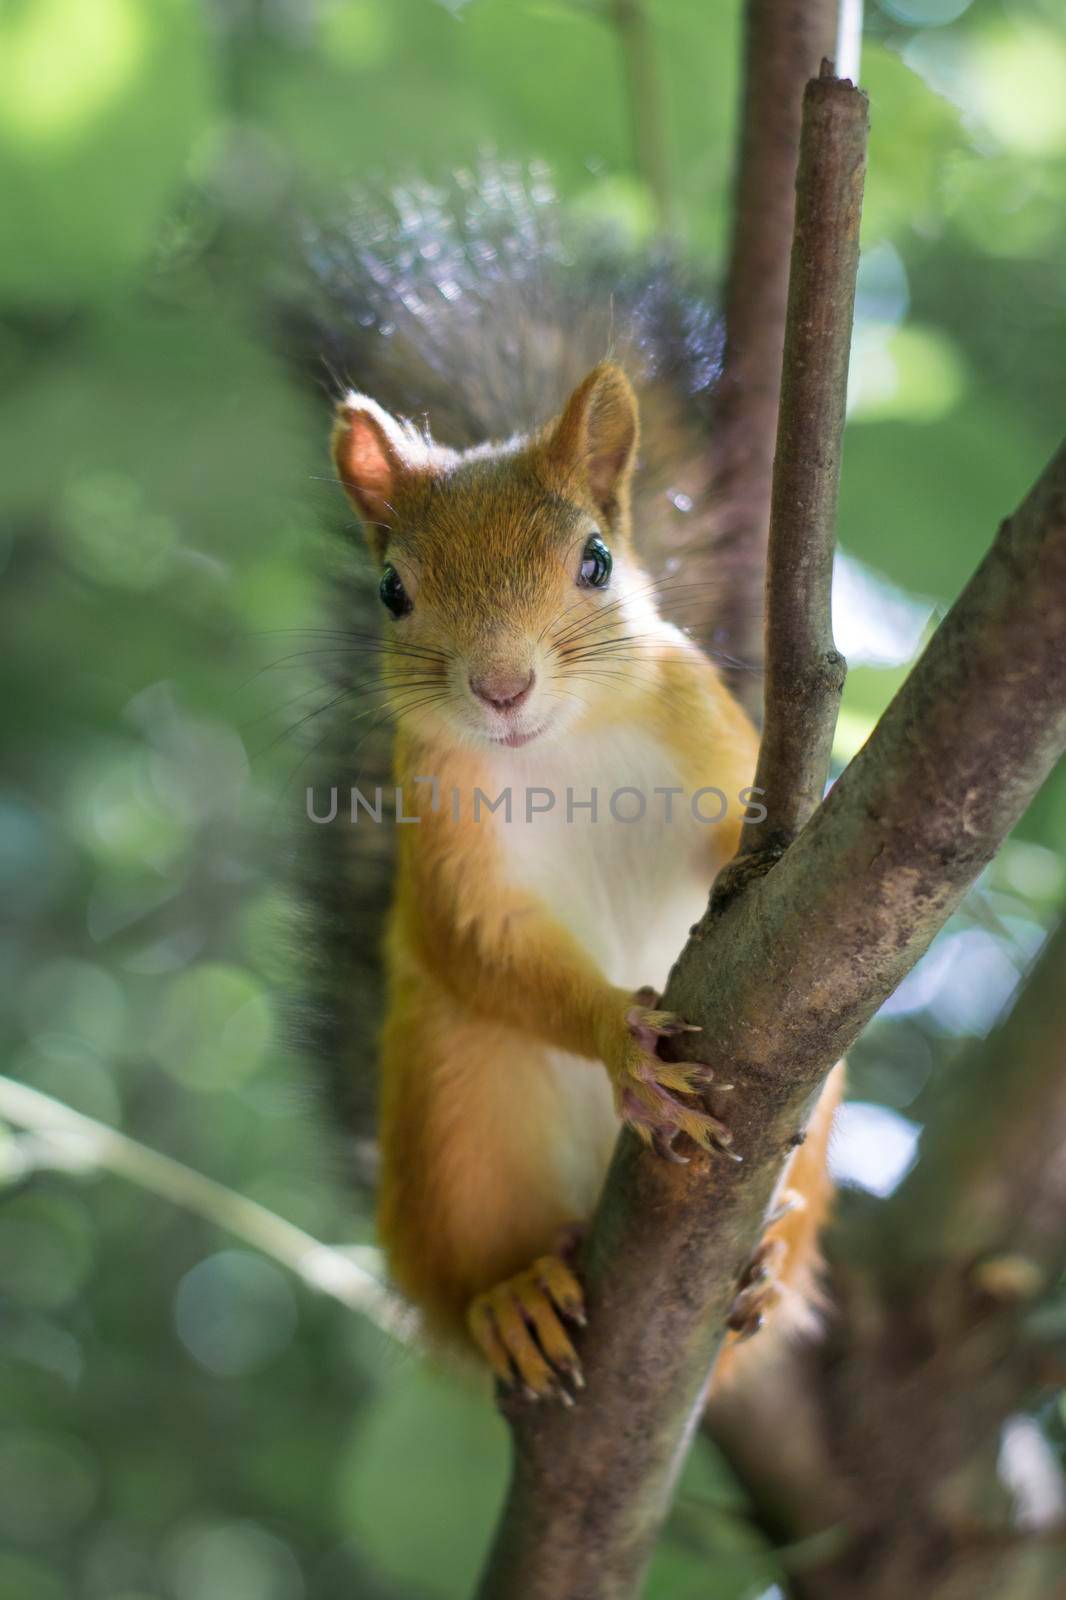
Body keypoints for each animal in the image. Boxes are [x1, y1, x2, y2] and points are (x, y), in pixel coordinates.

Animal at [294, 172, 845, 1401]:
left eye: (594, 561)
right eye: (392, 590)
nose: (501, 687)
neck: (561, 749)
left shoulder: (711, 730)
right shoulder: (439, 821)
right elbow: (476, 936)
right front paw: (616, 1035)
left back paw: (764, 1276)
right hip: (454, 1118)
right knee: (469, 1273)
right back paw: (512, 1300)